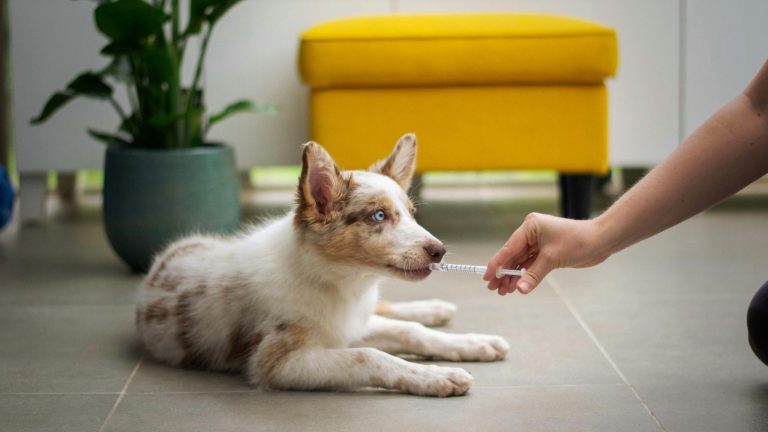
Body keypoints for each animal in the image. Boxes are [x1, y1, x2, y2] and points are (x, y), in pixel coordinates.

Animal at [136, 133, 510, 396]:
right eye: (379, 215)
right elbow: (370, 355)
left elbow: (410, 332)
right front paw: (437, 376)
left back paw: (435, 309)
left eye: (411, 214)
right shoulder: (279, 363)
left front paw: (470, 344)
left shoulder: (350, 323)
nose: (439, 251)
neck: (339, 282)